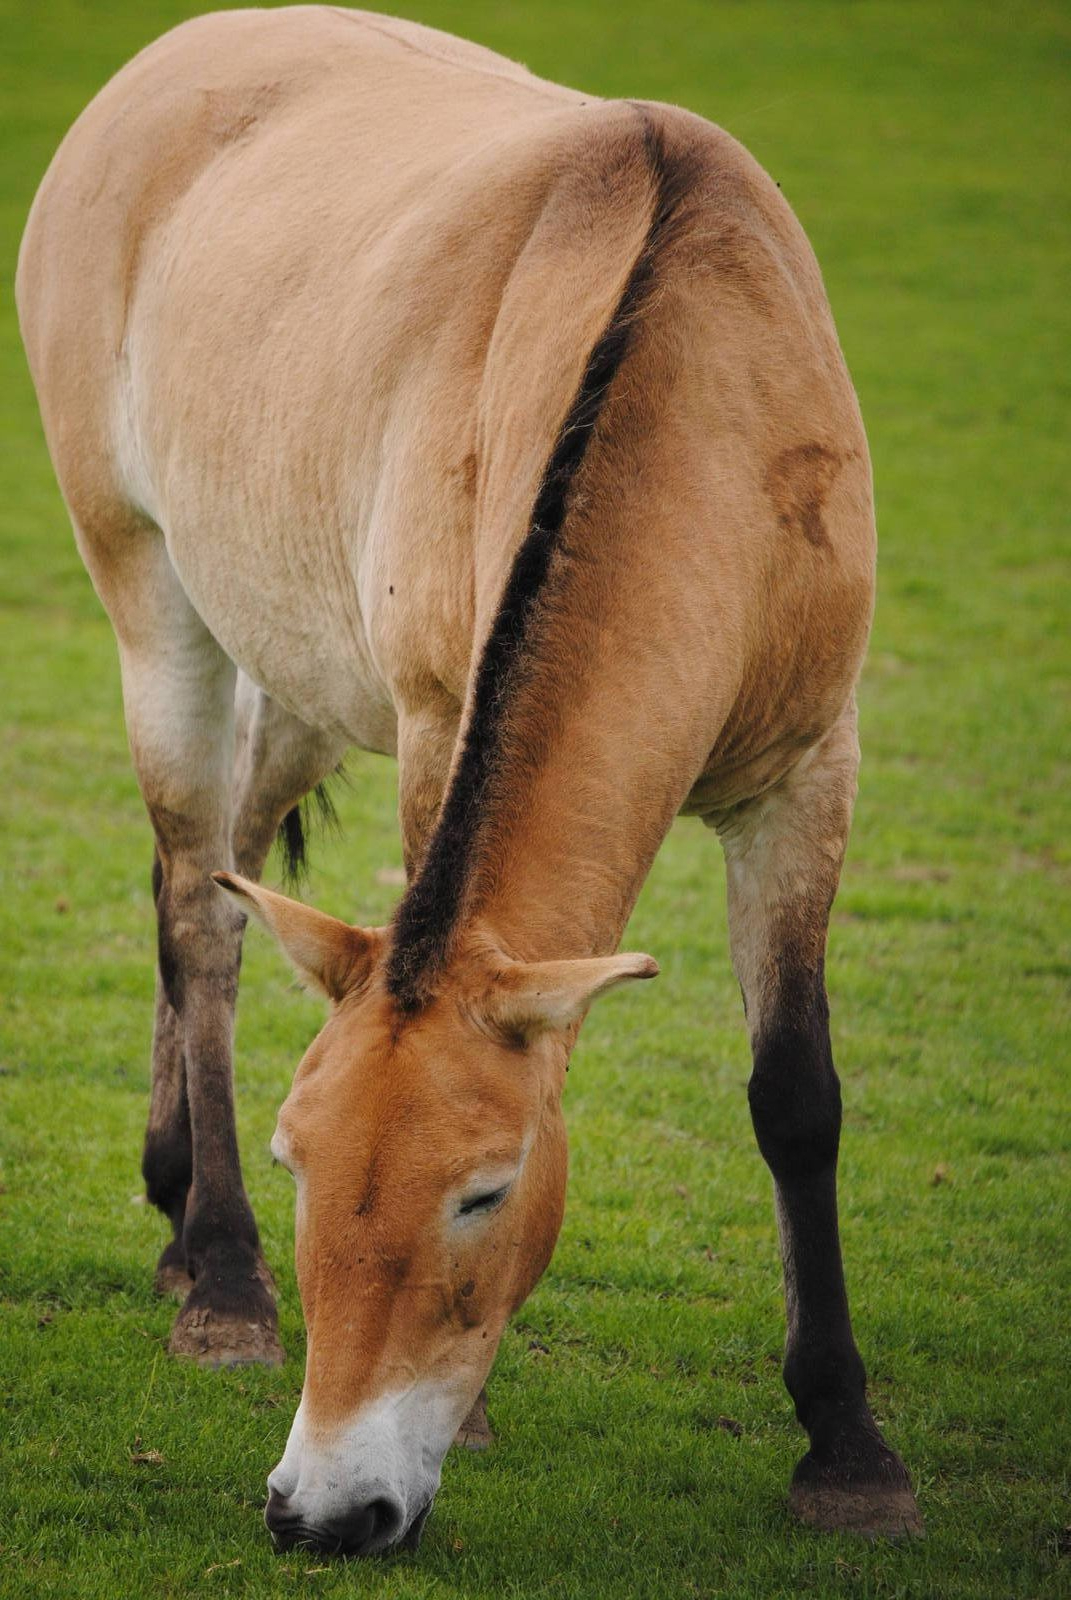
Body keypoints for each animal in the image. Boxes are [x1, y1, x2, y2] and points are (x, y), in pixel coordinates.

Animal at [17, 4, 920, 1557]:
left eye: (482, 1192)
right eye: (301, 1160)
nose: (322, 1510)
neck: (709, 380)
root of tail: (168, 62)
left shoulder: (808, 774)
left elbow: (795, 1095)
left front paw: (846, 1448)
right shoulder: (438, 722)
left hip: (300, 678)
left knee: (219, 866)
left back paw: (174, 1204)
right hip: (151, 598)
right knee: (198, 910)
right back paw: (221, 1278)